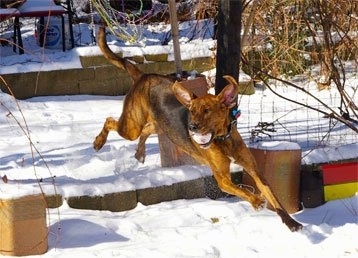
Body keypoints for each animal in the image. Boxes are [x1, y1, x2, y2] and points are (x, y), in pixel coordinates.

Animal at [93, 26, 302, 232]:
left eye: (207, 110)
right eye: (192, 111)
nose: (192, 127)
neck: (222, 140)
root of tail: (144, 76)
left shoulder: (255, 170)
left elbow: (274, 198)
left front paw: (291, 222)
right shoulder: (222, 179)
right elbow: (242, 190)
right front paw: (257, 201)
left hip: (159, 125)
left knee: (146, 130)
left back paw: (140, 153)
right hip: (132, 126)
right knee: (111, 121)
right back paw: (98, 142)